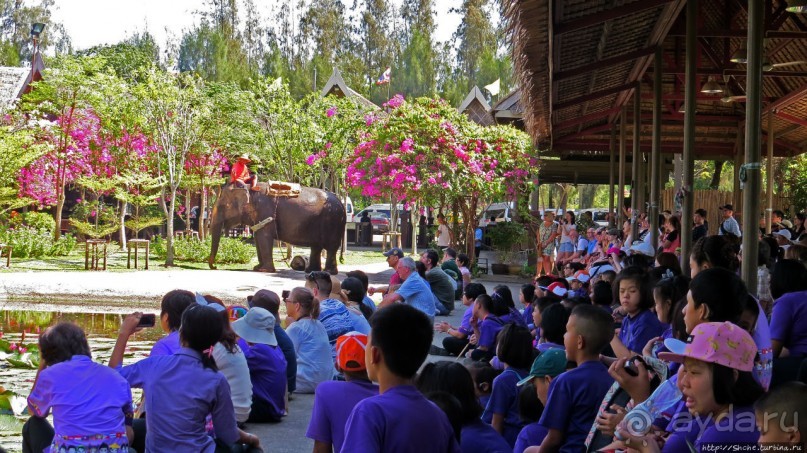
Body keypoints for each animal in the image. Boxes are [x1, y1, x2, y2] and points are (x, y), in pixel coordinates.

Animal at [207, 182, 346, 274]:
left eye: (223, 206)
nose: (215, 267)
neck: (249, 188)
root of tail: (341, 203)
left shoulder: (265, 211)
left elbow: (263, 236)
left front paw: (264, 270)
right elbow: (258, 236)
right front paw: (257, 268)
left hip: (332, 221)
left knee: (331, 247)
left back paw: (328, 272)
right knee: (316, 247)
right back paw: (311, 271)